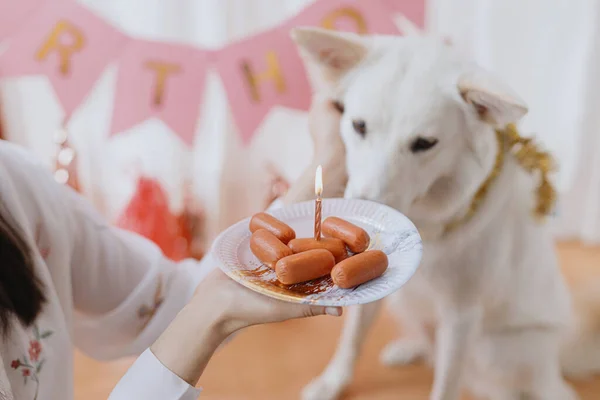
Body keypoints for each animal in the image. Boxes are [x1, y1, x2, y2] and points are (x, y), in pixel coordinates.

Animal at [290, 28, 600, 400]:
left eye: (424, 143)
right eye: (359, 126)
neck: (427, 224)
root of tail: (556, 363)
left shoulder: (461, 316)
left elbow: (447, 383)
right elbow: (352, 339)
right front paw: (333, 381)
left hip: (493, 350)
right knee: (430, 346)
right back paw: (409, 349)